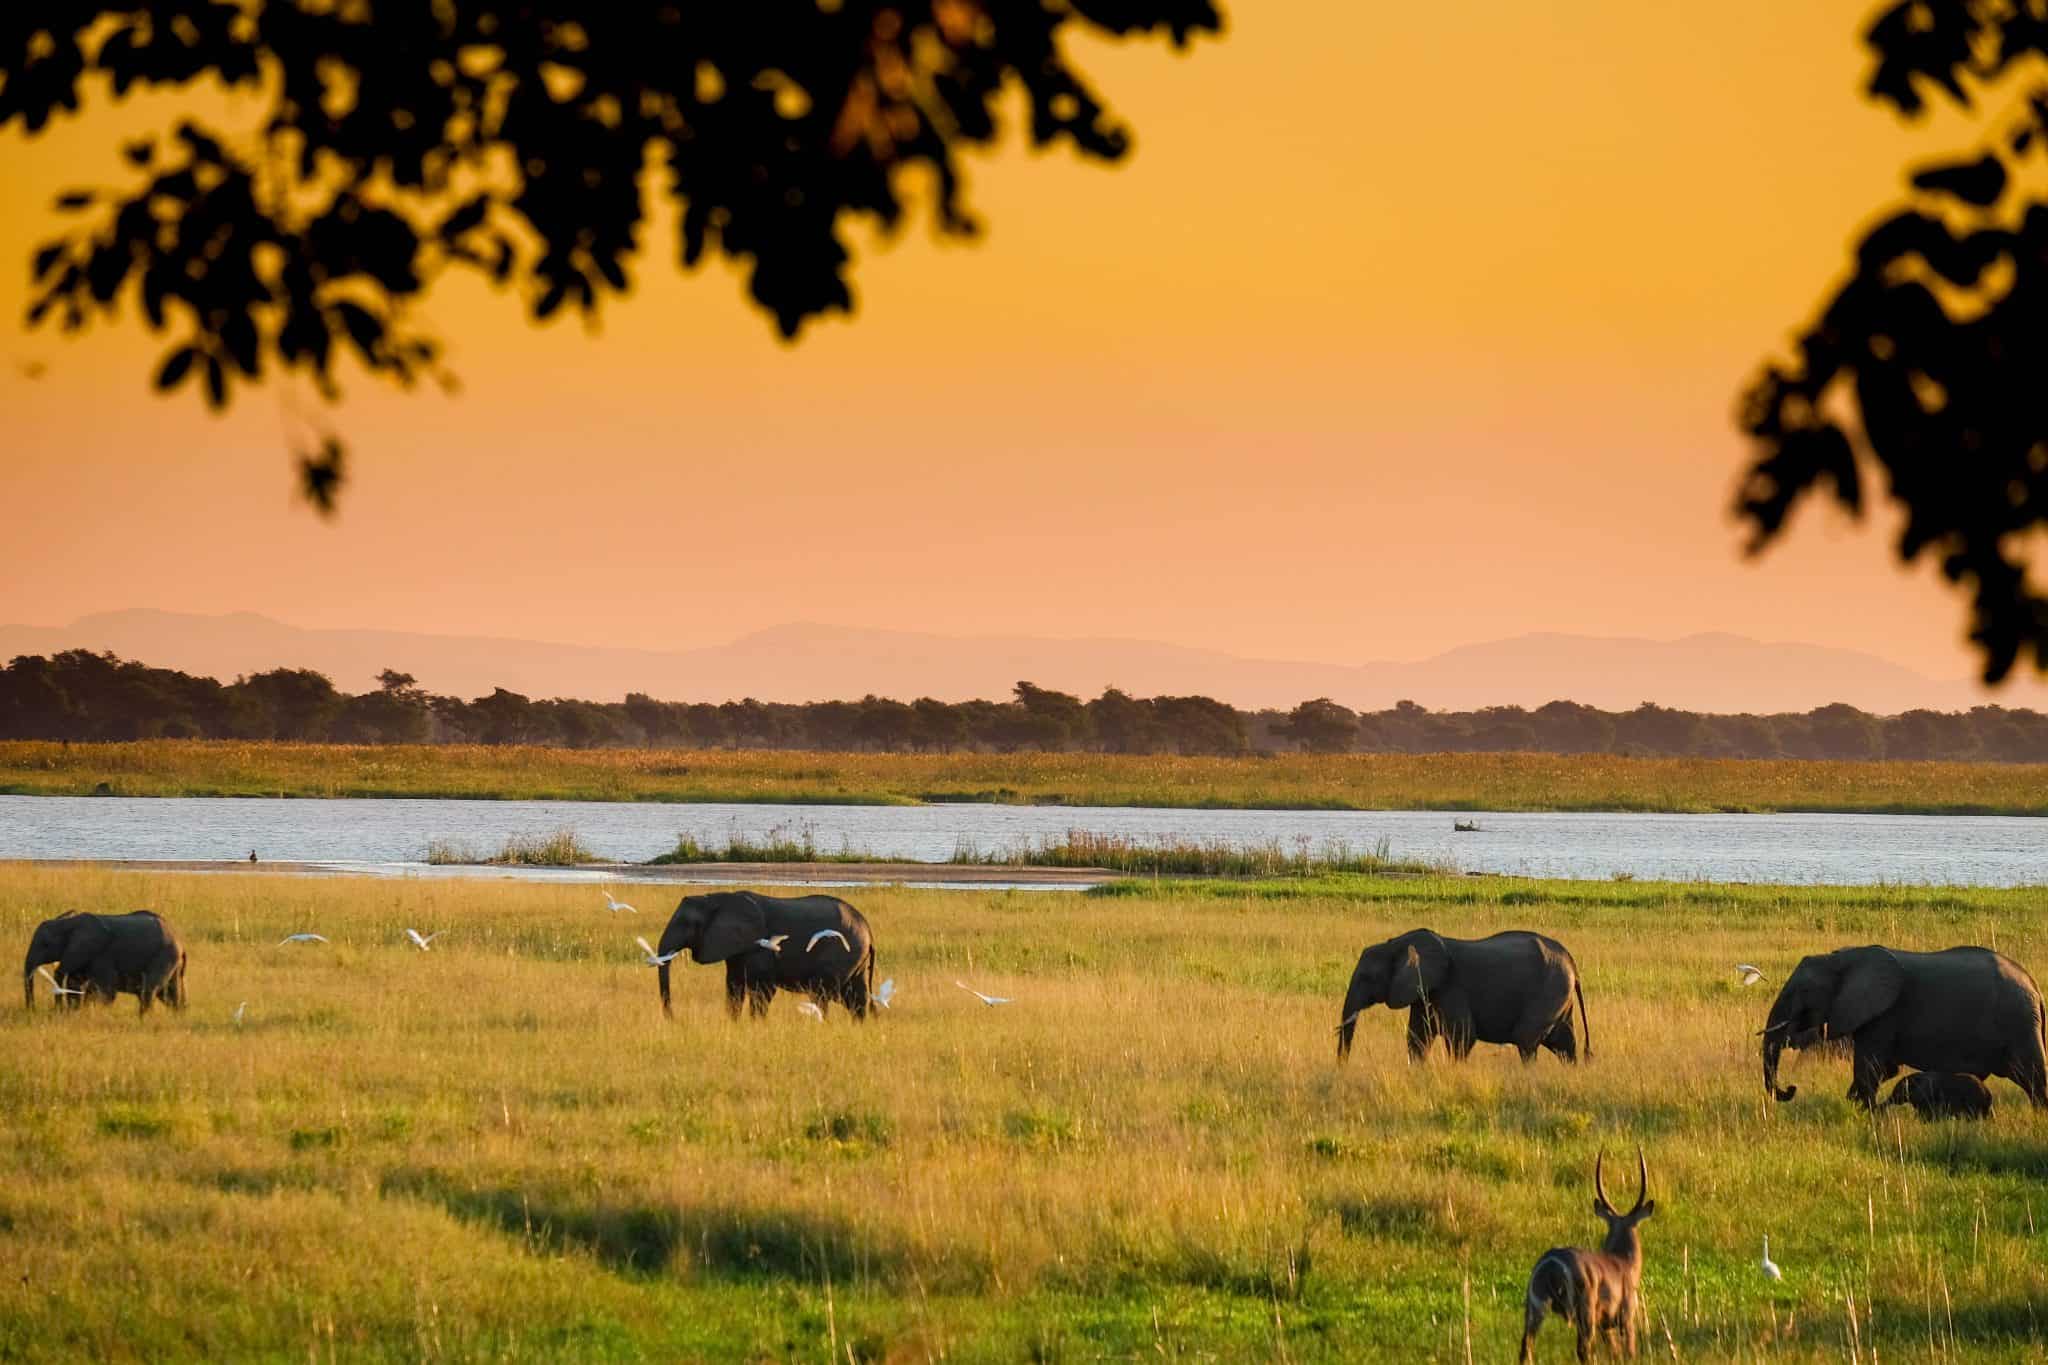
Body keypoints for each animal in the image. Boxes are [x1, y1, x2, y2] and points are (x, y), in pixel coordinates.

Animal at [23, 908, 186, 1015]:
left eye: (45, 944)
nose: (32, 1010)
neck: (69, 923)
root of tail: (180, 942)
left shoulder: (100, 954)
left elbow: (105, 992)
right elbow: (77, 985)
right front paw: (75, 1012)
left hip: (163, 957)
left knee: (149, 991)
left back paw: (144, 1019)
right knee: (170, 993)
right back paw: (176, 1016)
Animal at [659, 892, 876, 1019]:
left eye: (686, 923)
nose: (673, 1019)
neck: (714, 898)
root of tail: (868, 929)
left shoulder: (758, 949)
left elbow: (762, 989)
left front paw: (756, 1025)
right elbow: (734, 987)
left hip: (840, 954)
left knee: (823, 993)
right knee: (856, 998)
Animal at [1335, 929, 1589, 1064]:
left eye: (1367, 977)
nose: (1342, 1068)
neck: (1398, 942)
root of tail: (1572, 963)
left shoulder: (1450, 986)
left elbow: (1462, 1036)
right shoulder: (1425, 992)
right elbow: (1417, 1037)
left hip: (1550, 990)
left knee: (1526, 1039)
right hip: (1558, 994)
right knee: (1564, 1043)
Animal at [1515, 1146, 1654, 1358]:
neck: (1624, 1262)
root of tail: (1552, 1263)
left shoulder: (1605, 1326)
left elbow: (1615, 1352)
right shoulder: (1626, 1318)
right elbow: (1629, 1351)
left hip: (1535, 1307)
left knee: (1526, 1345)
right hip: (1585, 1312)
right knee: (1584, 1349)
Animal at [1761, 945, 2048, 1113]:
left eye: (1800, 992)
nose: (1791, 1089)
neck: (1842, 959)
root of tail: (2034, 986)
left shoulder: (1885, 1014)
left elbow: (1870, 1065)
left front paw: (1863, 1112)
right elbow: (1885, 1068)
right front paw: (1856, 1104)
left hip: (2019, 1022)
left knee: (2033, 1076)